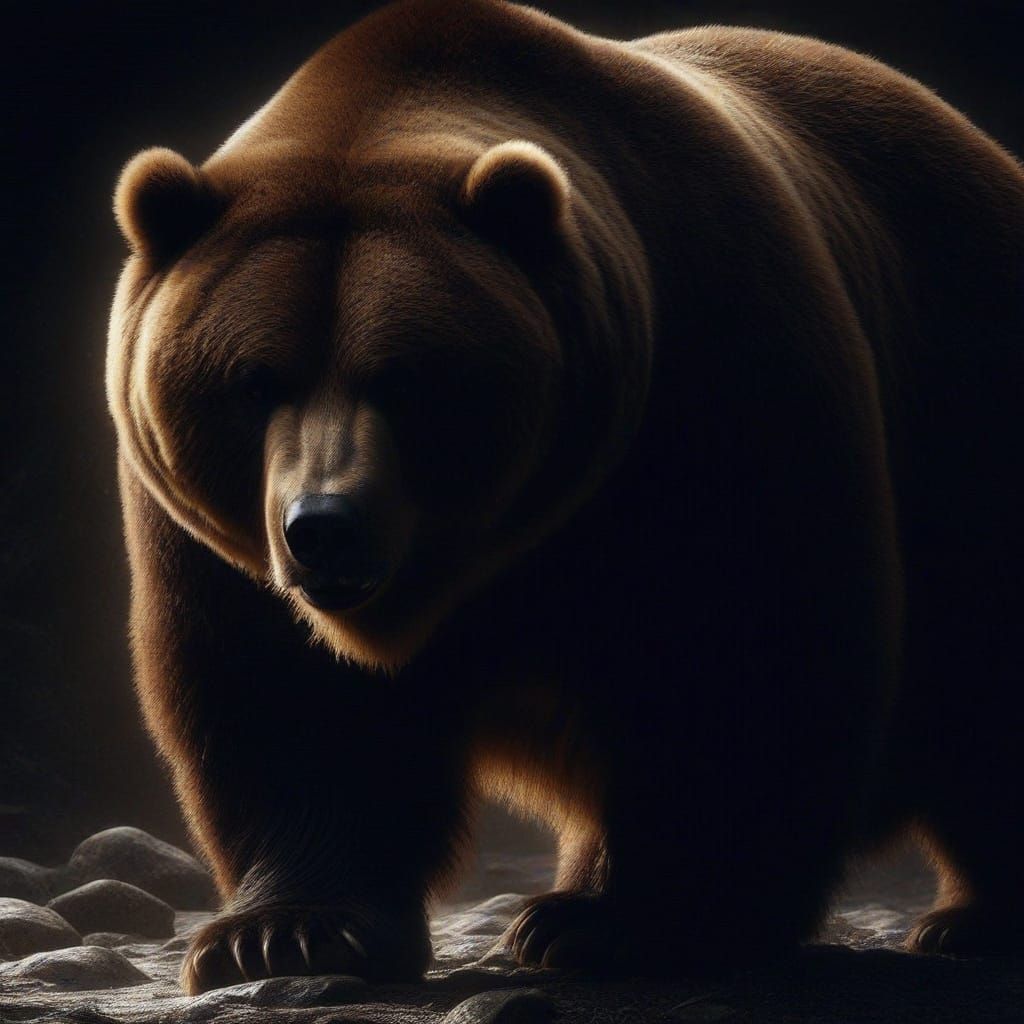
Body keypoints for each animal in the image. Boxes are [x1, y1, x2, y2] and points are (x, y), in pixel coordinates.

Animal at [106, 0, 1024, 995]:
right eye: (254, 380)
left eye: (408, 380)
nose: (324, 528)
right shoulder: (211, 540)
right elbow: (282, 697)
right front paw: (285, 932)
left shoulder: (715, 380)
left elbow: (740, 654)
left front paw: (644, 920)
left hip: (965, 411)